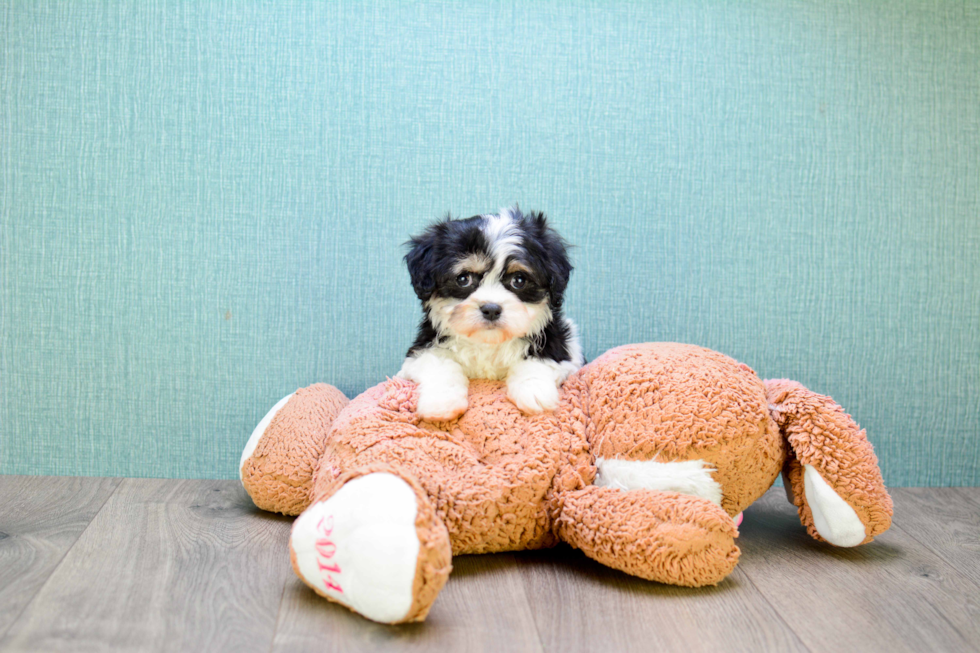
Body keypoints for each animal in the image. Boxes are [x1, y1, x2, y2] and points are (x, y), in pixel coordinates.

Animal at [396, 206, 580, 420]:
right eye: (463, 279)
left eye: (519, 280)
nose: (491, 309)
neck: (488, 342)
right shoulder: (422, 350)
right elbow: (440, 364)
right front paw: (441, 402)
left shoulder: (559, 348)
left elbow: (538, 361)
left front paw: (534, 391)